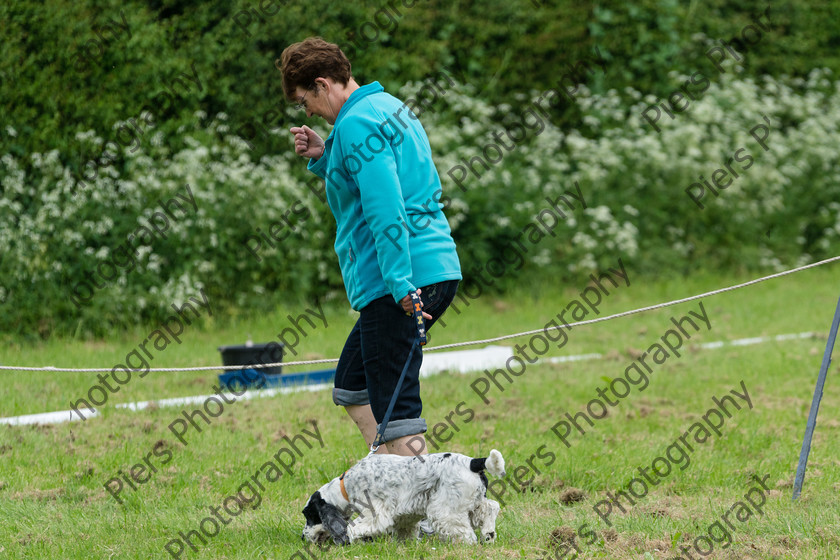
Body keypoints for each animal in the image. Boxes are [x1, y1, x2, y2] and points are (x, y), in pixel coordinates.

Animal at [304, 450, 506, 544]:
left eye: (309, 516)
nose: (302, 536)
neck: (344, 486)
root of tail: (472, 462)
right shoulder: (403, 514)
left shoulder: (376, 513)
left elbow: (353, 530)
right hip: (473, 502)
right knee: (491, 507)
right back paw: (489, 535)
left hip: (446, 510)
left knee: (466, 534)